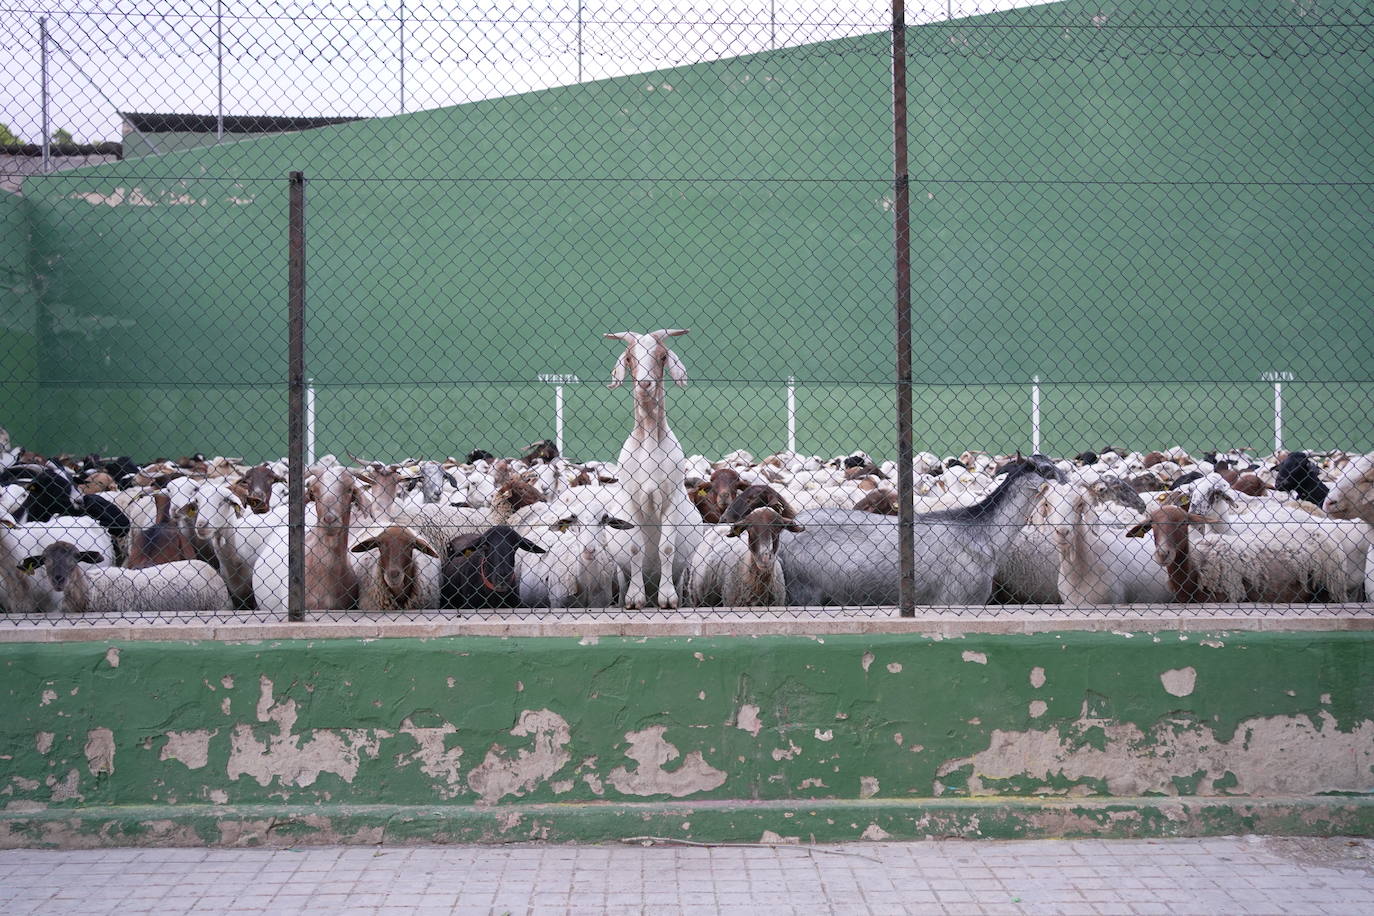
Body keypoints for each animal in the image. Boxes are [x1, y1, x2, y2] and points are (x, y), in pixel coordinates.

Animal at [607, 329, 697, 609]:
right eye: (628, 358)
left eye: (663, 356)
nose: (645, 385)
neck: (648, 442)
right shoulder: (631, 501)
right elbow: (636, 548)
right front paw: (635, 599)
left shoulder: (670, 498)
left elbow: (666, 548)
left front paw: (667, 599)